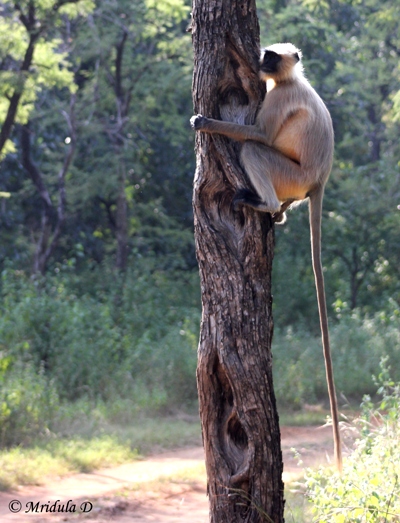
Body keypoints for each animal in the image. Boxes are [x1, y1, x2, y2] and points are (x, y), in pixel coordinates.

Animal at [191, 43, 344, 472]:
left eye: (272, 57)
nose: (260, 61)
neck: (290, 80)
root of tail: (319, 180)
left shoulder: (278, 97)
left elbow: (257, 134)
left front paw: (205, 121)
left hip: (290, 174)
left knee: (255, 148)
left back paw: (266, 205)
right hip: (296, 182)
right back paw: (280, 212)